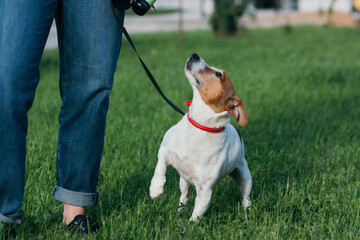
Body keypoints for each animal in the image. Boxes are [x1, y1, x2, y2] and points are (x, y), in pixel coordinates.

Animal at [150, 53, 252, 221]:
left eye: (218, 75)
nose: (194, 55)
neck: (200, 126)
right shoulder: (164, 150)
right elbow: (160, 167)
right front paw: (155, 188)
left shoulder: (205, 191)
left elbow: (196, 216)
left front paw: (187, 226)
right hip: (184, 181)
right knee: (184, 196)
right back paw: (180, 209)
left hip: (244, 176)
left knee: (246, 197)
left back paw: (247, 212)